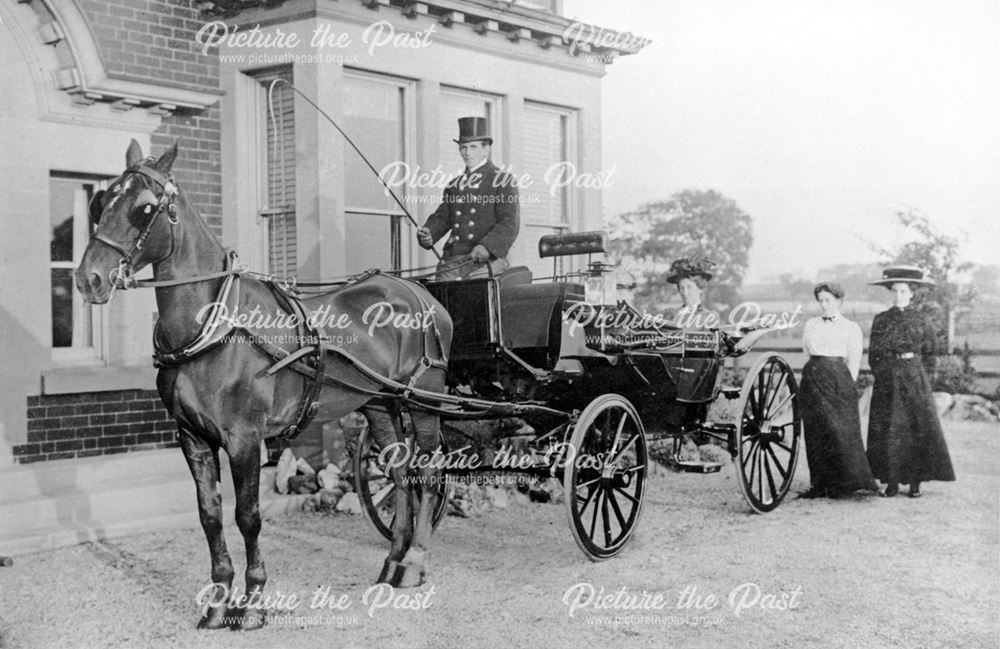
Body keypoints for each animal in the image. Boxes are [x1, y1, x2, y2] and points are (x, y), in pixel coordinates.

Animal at [76, 139, 452, 632]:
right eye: (100, 202)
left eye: (144, 208)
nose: (89, 279)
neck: (215, 326)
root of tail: (418, 292)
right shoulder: (192, 437)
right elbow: (210, 516)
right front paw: (217, 603)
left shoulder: (244, 438)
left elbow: (247, 516)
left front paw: (252, 601)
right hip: (379, 403)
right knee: (399, 474)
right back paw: (392, 563)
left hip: (424, 399)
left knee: (428, 473)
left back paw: (416, 562)